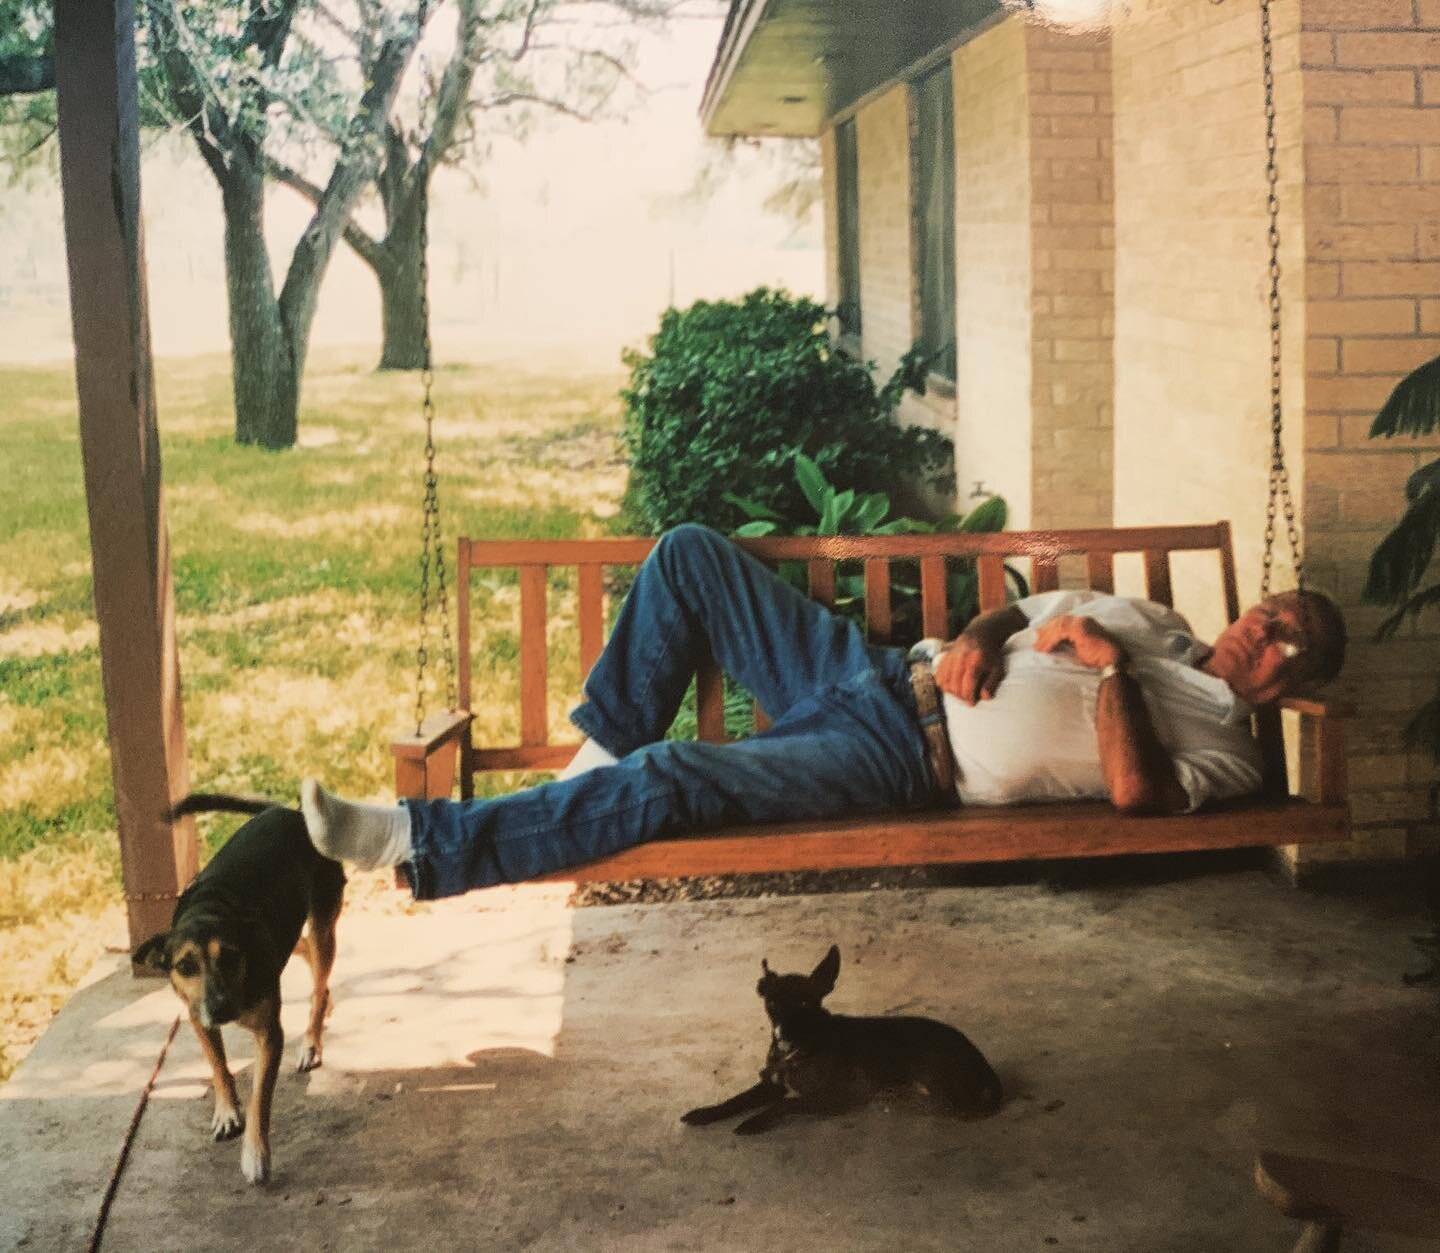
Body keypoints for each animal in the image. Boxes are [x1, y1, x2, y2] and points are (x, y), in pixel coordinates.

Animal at [135, 795, 348, 1186]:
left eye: (231, 956)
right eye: (185, 966)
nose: (220, 1009)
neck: (210, 909)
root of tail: (289, 812)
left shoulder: (269, 1034)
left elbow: (260, 1098)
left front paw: (255, 1154)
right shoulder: (197, 1015)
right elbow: (218, 1065)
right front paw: (226, 1111)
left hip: (323, 922)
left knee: (319, 973)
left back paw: (312, 1040)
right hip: (291, 935)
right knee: (306, 956)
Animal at [682, 944, 1002, 1140]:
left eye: (805, 1002)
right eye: (772, 1003)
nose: (784, 1033)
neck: (797, 1051)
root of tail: (985, 1068)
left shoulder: (833, 1098)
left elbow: (786, 1104)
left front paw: (753, 1121)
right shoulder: (770, 1085)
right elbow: (736, 1099)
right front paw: (705, 1112)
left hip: (925, 1064)